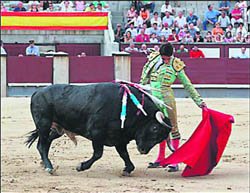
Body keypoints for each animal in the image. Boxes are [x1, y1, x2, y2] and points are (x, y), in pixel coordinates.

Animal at [25, 82, 172, 176]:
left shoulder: (119, 138)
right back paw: (49, 168)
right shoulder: (96, 134)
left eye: (161, 138)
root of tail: (37, 92)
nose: (143, 150)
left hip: (58, 129)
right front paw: (81, 166)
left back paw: (45, 164)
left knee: (47, 142)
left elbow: (124, 155)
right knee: (41, 145)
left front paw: (127, 170)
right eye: (154, 128)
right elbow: (98, 154)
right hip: (43, 124)